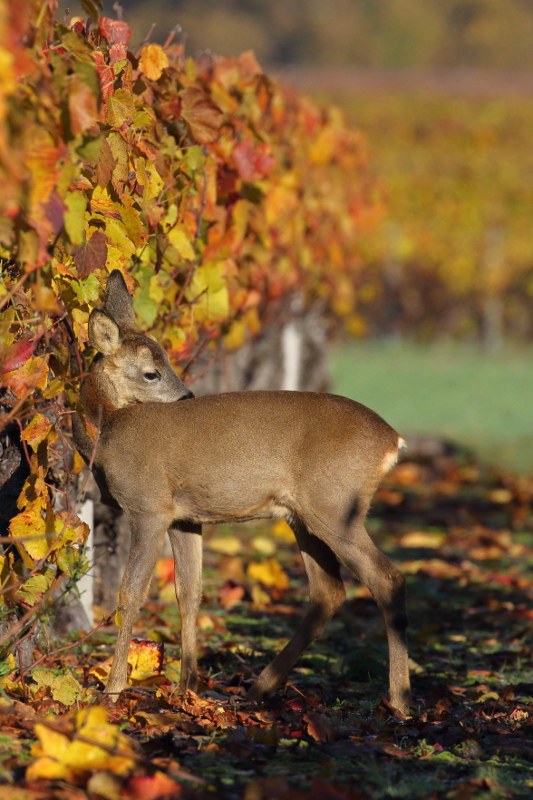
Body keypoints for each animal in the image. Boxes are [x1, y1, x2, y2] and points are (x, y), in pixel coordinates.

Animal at [72, 270, 410, 712]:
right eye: (151, 372)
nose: (188, 396)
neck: (108, 427)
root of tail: (393, 441)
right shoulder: (184, 517)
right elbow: (190, 592)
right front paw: (186, 688)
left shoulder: (148, 507)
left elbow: (130, 595)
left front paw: (112, 690)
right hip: (304, 516)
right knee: (328, 591)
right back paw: (259, 688)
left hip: (336, 506)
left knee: (386, 579)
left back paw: (400, 700)